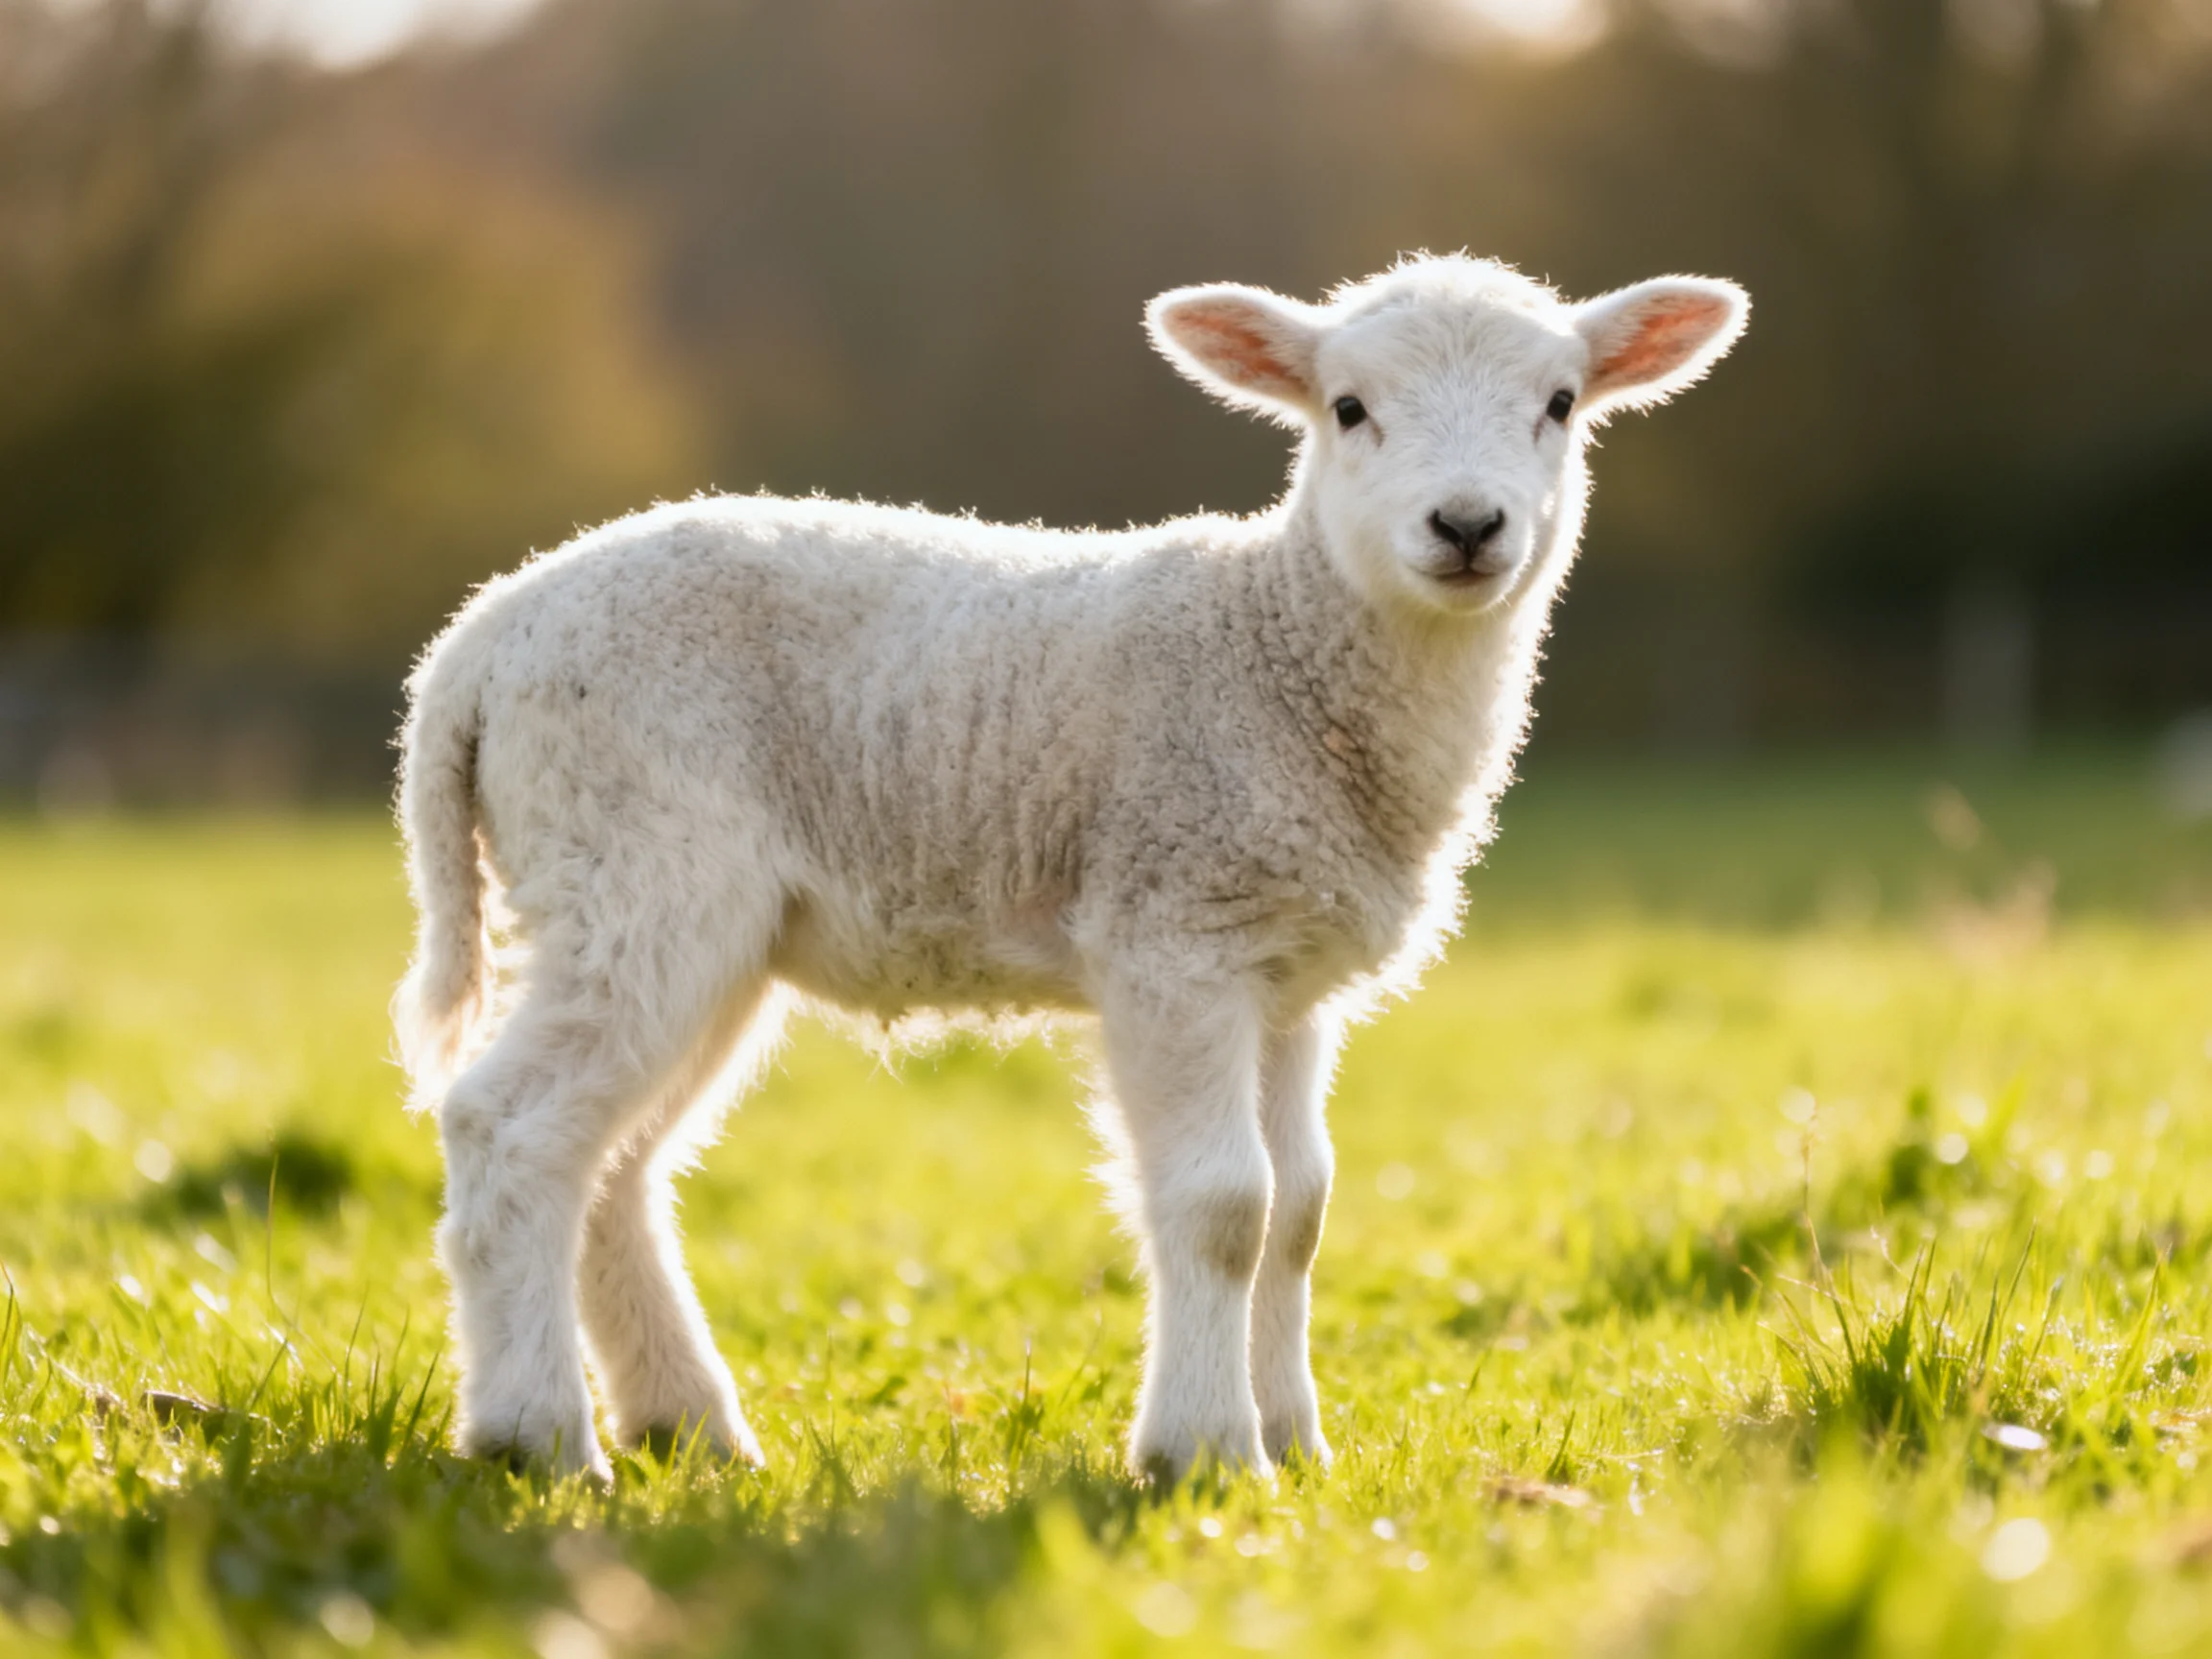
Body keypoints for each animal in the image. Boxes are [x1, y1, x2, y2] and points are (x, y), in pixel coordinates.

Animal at [394, 252, 1748, 1484]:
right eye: (1349, 408)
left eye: (1561, 402)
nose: (1467, 527)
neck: (1280, 647)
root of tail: (479, 640)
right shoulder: (1175, 931)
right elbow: (1224, 1207)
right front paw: (1206, 1455)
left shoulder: (1288, 973)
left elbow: (1302, 1209)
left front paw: (1298, 1444)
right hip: (633, 862)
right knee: (510, 1129)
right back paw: (537, 1439)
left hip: (695, 922)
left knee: (615, 1163)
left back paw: (690, 1429)